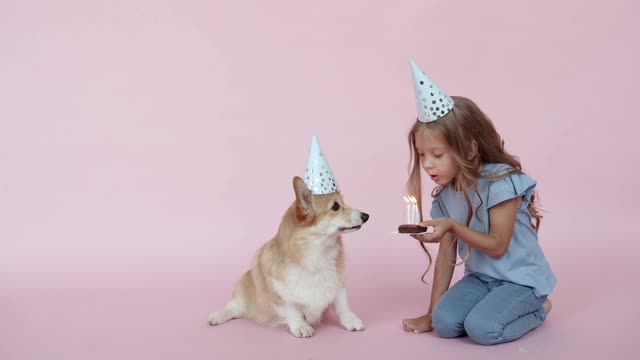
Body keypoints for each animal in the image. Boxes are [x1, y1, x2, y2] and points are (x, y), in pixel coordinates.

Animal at [210, 177, 370, 338]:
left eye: (343, 202)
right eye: (335, 206)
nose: (366, 216)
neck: (318, 253)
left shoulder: (338, 285)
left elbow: (342, 305)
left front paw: (351, 320)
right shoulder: (280, 296)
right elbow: (293, 311)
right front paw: (301, 326)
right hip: (243, 288)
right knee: (234, 308)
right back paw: (217, 317)